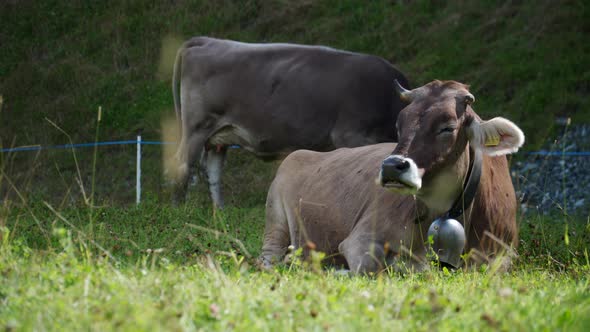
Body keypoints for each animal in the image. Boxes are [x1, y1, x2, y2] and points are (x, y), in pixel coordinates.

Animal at [264, 80, 528, 272]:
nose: (392, 166)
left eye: (448, 127)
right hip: (275, 219)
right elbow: (371, 267)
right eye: (399, 125)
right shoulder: (360, 239)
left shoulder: (504, 254)